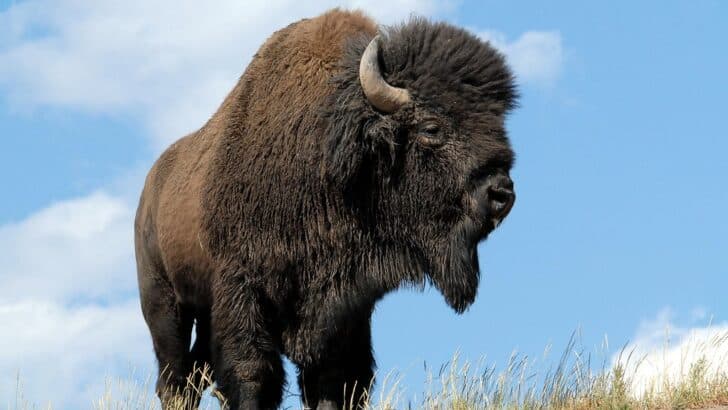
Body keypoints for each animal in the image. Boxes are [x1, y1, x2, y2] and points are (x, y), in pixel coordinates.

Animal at [135, 9, 517, 410]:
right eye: (431, 127)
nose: (501, 193)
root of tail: (150, 189)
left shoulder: (347, 306)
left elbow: (336, 379)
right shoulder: (242, 288)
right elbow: (252, 372)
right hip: (165, 302)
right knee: (176, 375)